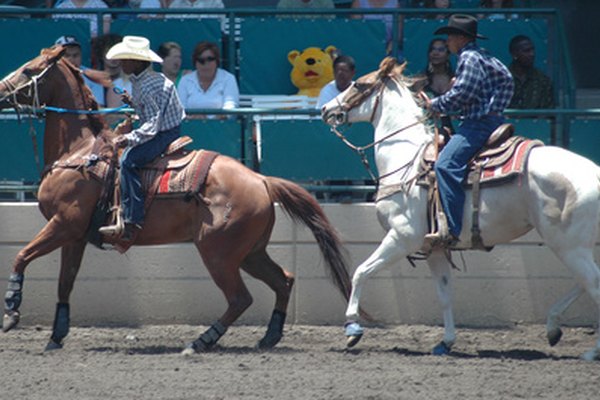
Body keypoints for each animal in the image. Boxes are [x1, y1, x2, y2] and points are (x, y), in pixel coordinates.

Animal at [0, 44, 352, 354]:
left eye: (29, 70)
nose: (2, 90)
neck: (79, 154)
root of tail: (261, 180)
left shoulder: (62, 225)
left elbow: (21, 256)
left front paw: (11, 312)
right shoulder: (74, 236)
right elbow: (65, 283)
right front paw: (56, 336)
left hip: (218, 253)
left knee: (240, 298)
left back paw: (200, 341)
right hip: (250, 252)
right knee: (283, 281)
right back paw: (269, 336)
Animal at [324, 57, 600, 360]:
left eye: (359, 84)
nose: (326, 109)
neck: (407, 161)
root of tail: (595, 173)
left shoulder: (402, 237)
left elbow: (361, 271)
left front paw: (352, 328)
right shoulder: (433, 248)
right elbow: (445, 296)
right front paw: (446, 342)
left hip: (568, 245)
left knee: (593, 283)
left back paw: (590, 350)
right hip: (575, 246)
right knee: (585, 281)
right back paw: (553, 328)